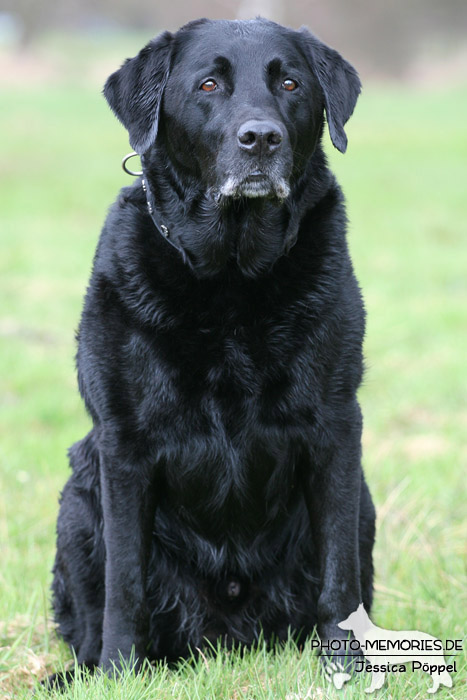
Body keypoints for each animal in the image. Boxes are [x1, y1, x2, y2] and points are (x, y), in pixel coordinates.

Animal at [52, 17, 376, 680]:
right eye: (209, 84)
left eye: (289, 83)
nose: (262, 138)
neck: (231, 276)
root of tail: (228, 637)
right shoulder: (123, 444)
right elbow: (125, 582)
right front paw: (120, 675)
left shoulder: (335, 429)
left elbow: (340, 574)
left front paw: (347, 669)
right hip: (76, 500)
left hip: (365, 499)